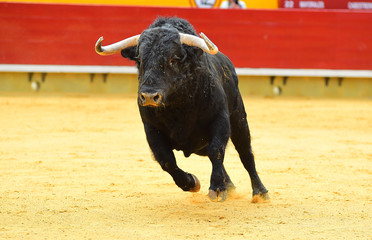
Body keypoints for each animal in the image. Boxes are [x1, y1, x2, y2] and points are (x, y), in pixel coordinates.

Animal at [95, 15, 268, 202]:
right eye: (140, 60)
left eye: (173, 59)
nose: (148, 96)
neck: (178, 106)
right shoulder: (151, 129)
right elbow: (166, 160)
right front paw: (192, 183)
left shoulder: (220, 119)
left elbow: (217, 151)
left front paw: (217, 188)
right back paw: (230, 185)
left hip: (239, 119)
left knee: (246, 154)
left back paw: (260, 192)